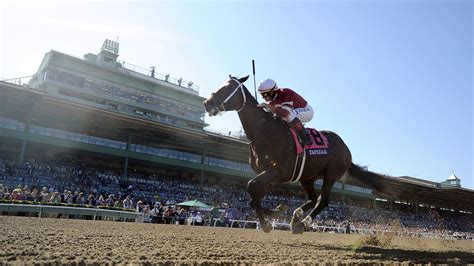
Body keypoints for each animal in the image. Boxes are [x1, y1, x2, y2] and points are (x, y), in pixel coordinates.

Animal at [202, 75, 390, 233]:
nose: (207, 103)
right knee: (313, 199)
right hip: (307, 177)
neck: (264, 132)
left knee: (322, 200)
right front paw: (277, 211)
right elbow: (253, 196)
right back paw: (296, 217)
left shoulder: (277, 172)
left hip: (331, 173)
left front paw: (266, 223)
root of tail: (347, 151)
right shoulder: (268, 174)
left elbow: (250, 187)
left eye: (227, 88)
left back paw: (303, 223)